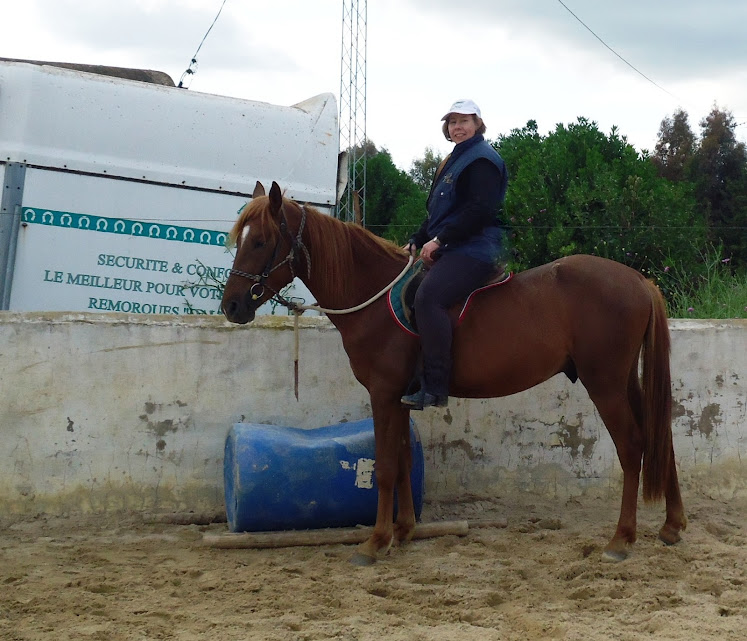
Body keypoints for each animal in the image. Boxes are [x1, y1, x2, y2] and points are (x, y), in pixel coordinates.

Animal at [219, 180, 688, 560]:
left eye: (261, 242)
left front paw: (375, 542)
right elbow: (404, 461)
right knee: (660, 437)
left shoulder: (383, 393)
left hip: (605, 383)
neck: (374, 297)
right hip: (625, 381)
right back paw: (671, 525)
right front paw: (403, 530)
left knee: (633, 445)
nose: (232, 306)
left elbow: (385, 465)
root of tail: (639, 280)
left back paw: (622, 538)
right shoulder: (401, 397)